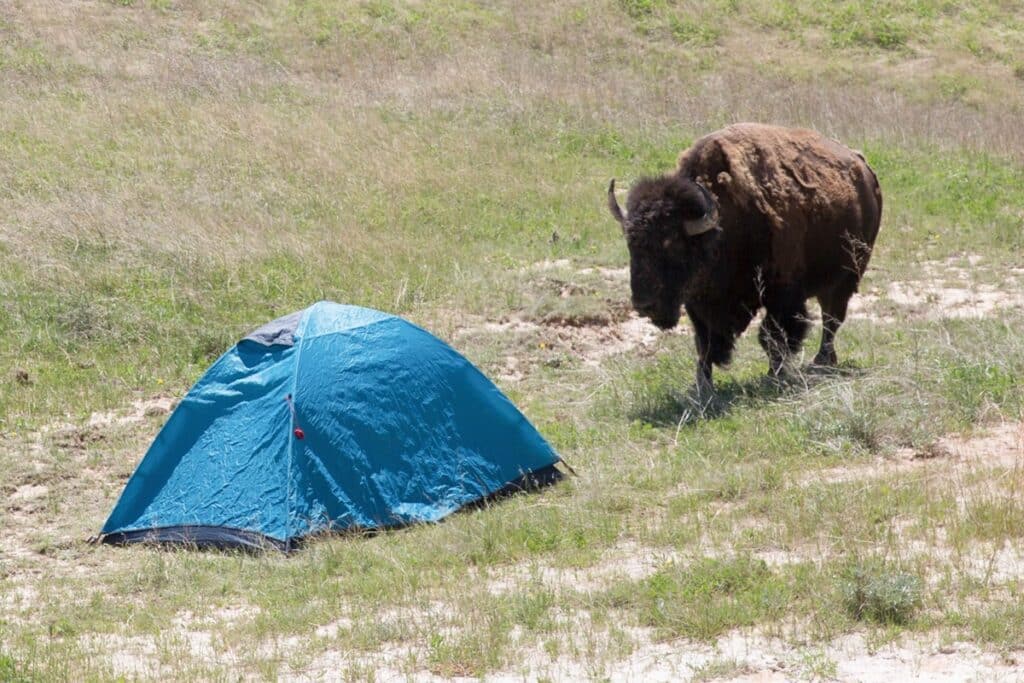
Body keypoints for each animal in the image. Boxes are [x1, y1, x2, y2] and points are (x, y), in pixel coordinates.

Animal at [606, 121, 880, 395]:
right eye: (630, 244)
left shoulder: (782, 295)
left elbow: (773, 336)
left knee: (831, 318)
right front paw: (703, 386)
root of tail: (865, 170)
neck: (723, 227)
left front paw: (774, 375)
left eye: (672, 243)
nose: (644, 304)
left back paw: (822, 360)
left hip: (846, 277)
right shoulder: (699, 304)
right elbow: (704, 345)